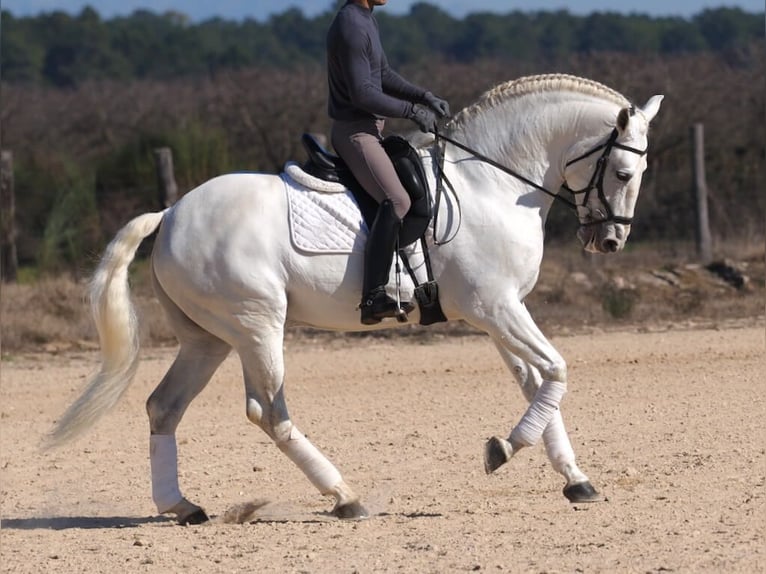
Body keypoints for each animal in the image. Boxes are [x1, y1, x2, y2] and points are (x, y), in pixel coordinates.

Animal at [49, 74, 660, 524]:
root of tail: (171, 212)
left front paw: (576, 480)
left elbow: (537, 382)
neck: (492, 185)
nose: (610, 241)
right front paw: (503, 450)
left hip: (208, 339)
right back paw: (345, 497)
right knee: (268, 412)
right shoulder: (496, 309)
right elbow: (556, 370)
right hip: (256, 326)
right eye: (623, 171)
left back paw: (181, 506)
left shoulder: (500, 313)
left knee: (164, 406)